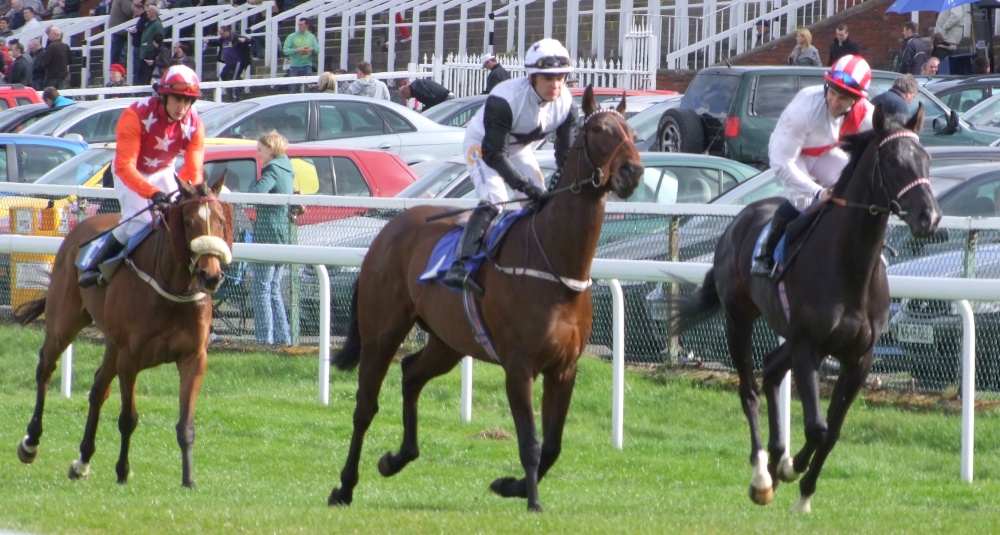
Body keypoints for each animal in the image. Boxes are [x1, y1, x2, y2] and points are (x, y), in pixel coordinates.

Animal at [11, 179, 233, 490]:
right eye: (188, 222)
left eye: (221, 220)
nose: (211, 276)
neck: (172, 286)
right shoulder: (130, 358)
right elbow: (128, 418)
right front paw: (123, 470)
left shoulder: (194, 358)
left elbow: (186, 424)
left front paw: (188, 479)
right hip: (63, 324)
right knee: (45, 369)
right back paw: (31, 442)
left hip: (112, 344)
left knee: (98, 389)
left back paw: (82, 461)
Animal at [324, 86, 644, 512]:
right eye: (598, 130)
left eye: (632, 133)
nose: (632, 172)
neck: (554, 261)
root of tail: (387, 231)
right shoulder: (519, 366)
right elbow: (531, 442)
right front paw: (533, 502)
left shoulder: (564, 368)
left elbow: (553, 446)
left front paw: (511, 487)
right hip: (382, 330)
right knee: (365, 406)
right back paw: (344, 486)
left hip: (448, 341)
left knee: (411, 373)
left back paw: (397, 458)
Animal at [676, 103, 940, 510]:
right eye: (894, 162)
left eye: (926, 158)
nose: (929, 217)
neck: (850, 267)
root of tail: (737, 221)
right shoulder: (808, 348)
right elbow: (817, 426)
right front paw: (790, 468)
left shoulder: (859, 358)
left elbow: (833, 430)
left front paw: (803, 489)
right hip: (739, 319)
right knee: (749, 390)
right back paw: (762, 474)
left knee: (771, 369)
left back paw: (776, 456)